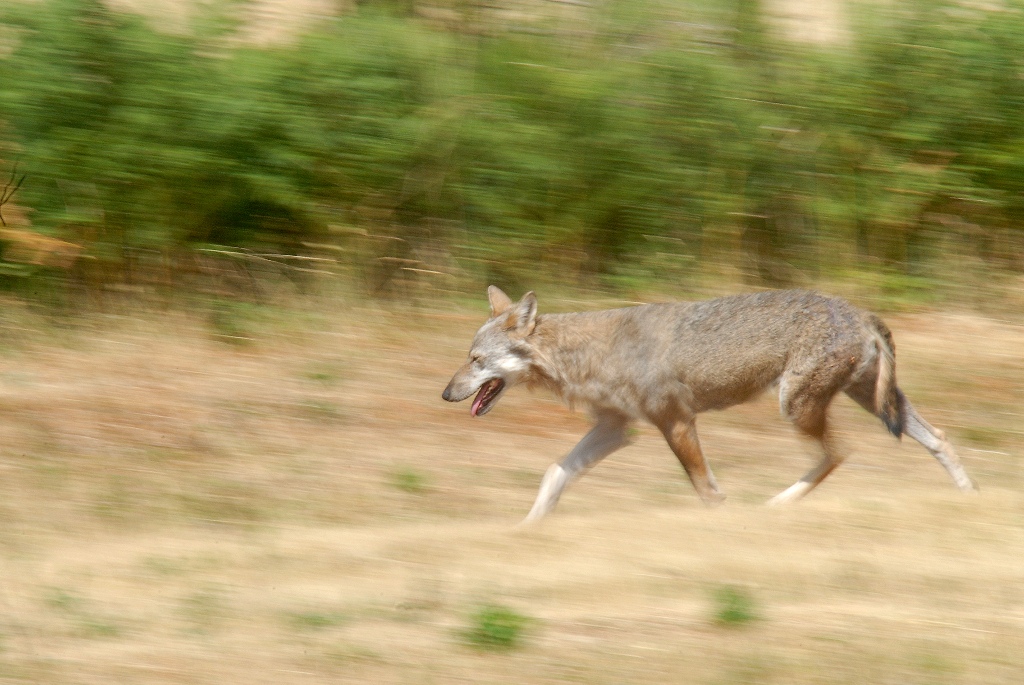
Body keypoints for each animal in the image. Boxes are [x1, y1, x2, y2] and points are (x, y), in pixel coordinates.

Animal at [442, 286, 977, 522]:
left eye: (474, 360)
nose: (445, 393)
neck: (587, 354)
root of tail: (859, 311)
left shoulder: (675, 422)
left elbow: (704, 489)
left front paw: (720, 520)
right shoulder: (617, 429)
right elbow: (554, 474)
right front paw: (527, 528)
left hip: (796, 407)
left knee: (837, 454)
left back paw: (776, 504)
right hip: (868, 401)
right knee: (940, 439)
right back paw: (971, 497)